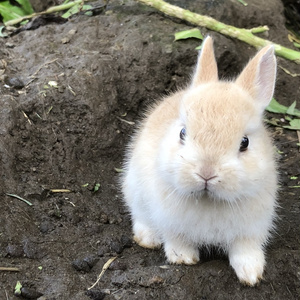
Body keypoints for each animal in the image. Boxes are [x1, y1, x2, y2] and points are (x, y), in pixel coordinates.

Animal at [121, 35, 276, 286]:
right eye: (182, 133)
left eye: (245, 142)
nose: (206, 172)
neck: (209, 200)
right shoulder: (170, 222)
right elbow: (176, 240)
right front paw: (184, 259)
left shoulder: (251, 229)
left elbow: (245, 249)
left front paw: (252, 274)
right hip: (134, 188)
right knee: (139, 215)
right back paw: (148, 239)